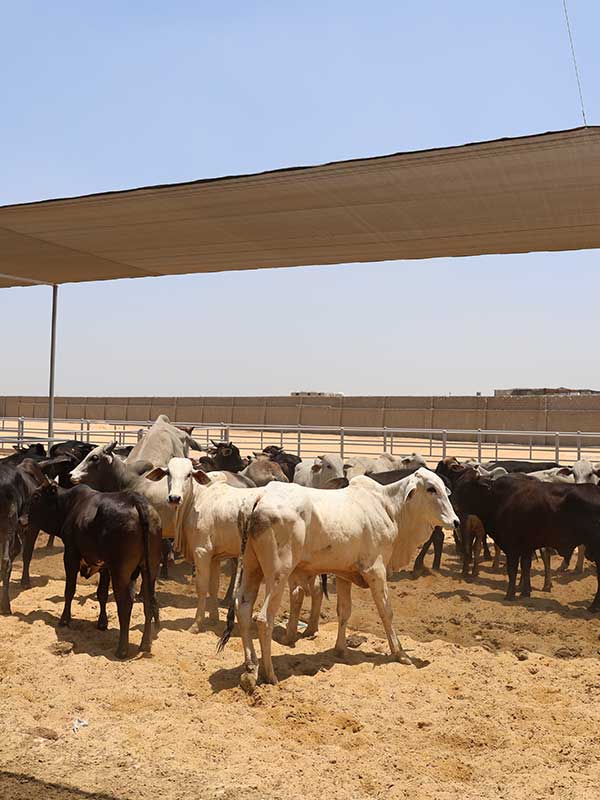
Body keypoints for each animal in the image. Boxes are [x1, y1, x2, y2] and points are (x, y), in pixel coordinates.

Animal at [20, 469, 162, 658]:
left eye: (36, 496)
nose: (21, 519)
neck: (69, 506)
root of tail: (138, 502)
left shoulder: (71, 555)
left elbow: (70, 590)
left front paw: (64, 619)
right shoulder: (104, 566)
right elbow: (101, 594)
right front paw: (102, 623)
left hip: (121, 572)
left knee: (125, 604)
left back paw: (122, 649)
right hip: (149, 569)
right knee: (148, 603)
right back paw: (145, 644)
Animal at [219, 468, 458, 689]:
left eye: (444, 488)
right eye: (431, 489)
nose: (455, 521)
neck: (388, 508)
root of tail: (258, 497)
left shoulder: (344, 575)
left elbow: (344, 611)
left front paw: (341, 649)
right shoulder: (376, 571)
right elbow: (386, 612)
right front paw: (400, 654)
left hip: (252, 568)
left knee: (243, 608)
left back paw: (250, 667)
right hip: (278, 574)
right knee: (263, 619)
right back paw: (269, 674)